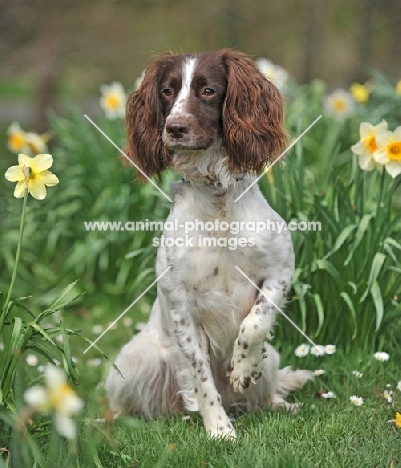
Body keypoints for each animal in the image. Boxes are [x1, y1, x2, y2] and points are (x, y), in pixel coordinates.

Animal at [105, 49, 312, 436]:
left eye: (208, 91)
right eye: (168, 91)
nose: (174, 128)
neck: (217, 200)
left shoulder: (280, 270)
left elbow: (256, 322)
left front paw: (243, 367)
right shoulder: (180, 304)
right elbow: (201, 378)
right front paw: (220, 431)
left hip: (272, 360)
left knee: (262, 395)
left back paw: (282, 403)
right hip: (131, 363)